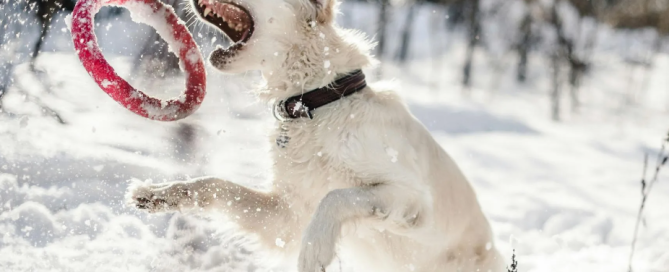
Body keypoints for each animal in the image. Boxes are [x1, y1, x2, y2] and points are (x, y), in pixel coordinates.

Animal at [125, 0, 504, 272]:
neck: (317, 102)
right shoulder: (287, 216)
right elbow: (215, 183)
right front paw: (160, 194)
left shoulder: (413, 200)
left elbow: (336, 196)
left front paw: (314, 250)